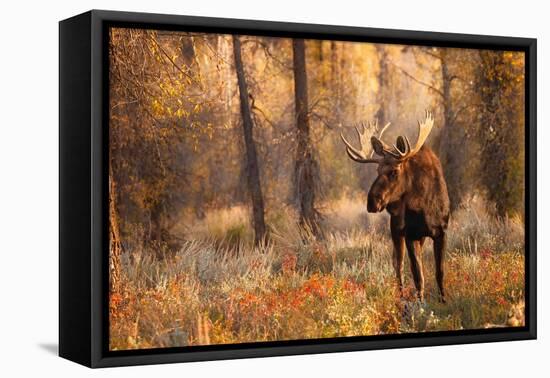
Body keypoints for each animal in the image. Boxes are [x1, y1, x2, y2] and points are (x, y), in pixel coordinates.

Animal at [340, 110, 452, 302]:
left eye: (393, 171)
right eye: (377, 171)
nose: (372, 202)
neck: (424, 207)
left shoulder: (441, 231)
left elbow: (439, 272)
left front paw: (443, 300)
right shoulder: (410, 234)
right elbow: (417, 275)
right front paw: (420, 302)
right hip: (396, 230)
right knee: (398, 265)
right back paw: (400, 296)